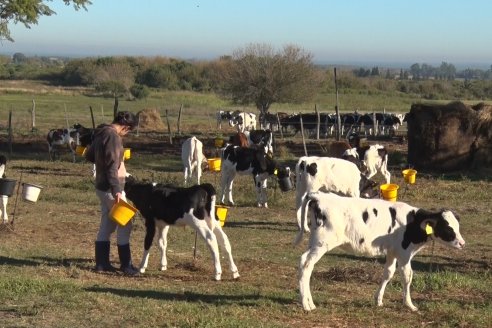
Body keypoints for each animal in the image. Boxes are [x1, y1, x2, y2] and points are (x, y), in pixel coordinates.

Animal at [296, 192, 466, 312]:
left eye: (458, 226)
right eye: (447, 228)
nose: (462, 243)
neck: (412, 223)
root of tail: (318, 196)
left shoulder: (392, 251)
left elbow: (388, 274)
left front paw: (378, 300)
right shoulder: (404, 254)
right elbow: (407, 277)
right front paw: (409, 305)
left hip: (314, 241)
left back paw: (309, 302)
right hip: (322, 243)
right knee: (306, 264)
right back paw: (307, 305)